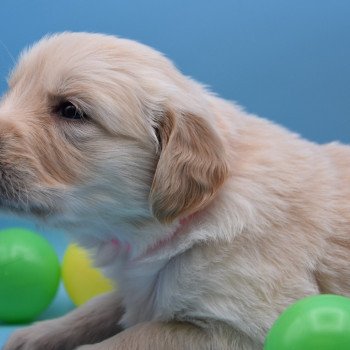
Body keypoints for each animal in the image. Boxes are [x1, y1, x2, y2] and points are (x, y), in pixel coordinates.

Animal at [2, 33, 350, 350]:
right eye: (13, 90)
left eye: (71, 111)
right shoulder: (137, 288)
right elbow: (96, 308)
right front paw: (34, 335)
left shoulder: (232, 327)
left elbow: (128, 339)